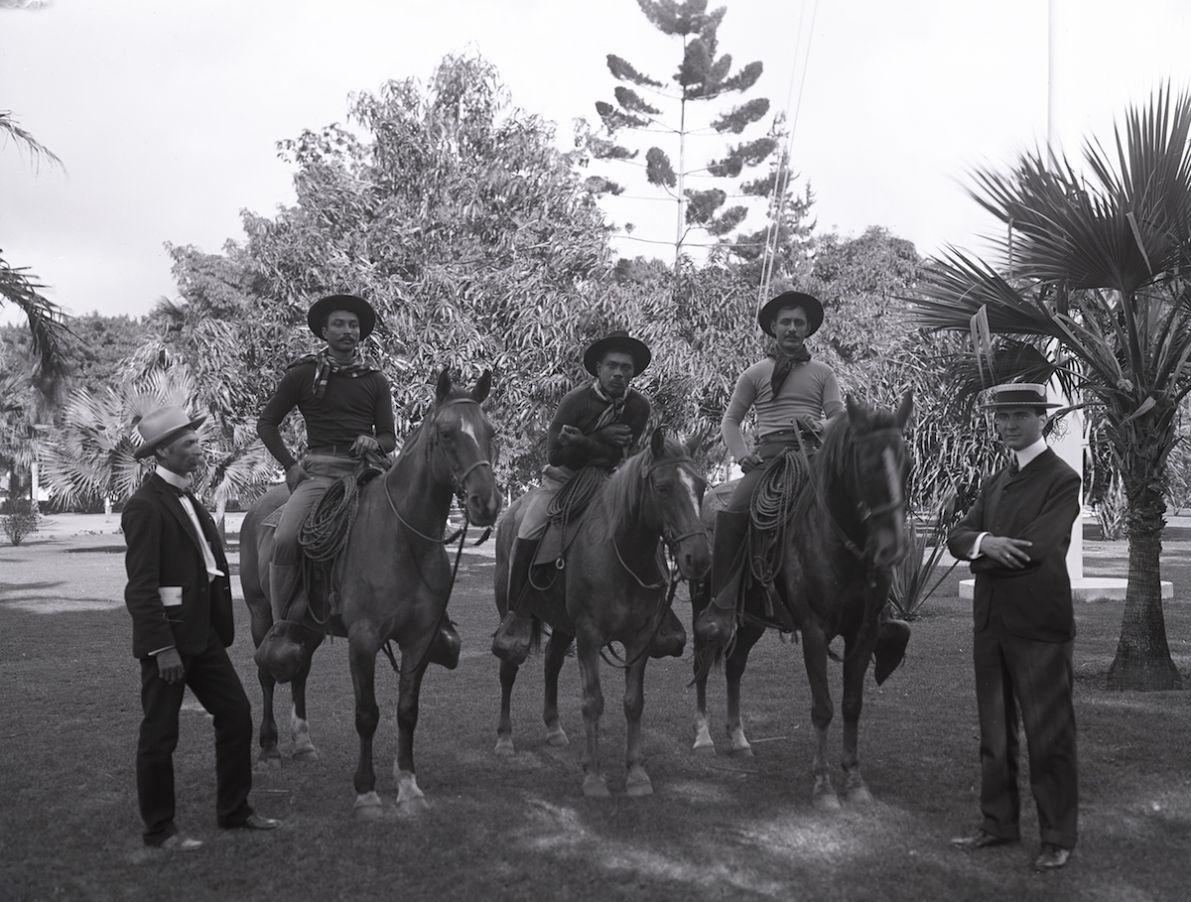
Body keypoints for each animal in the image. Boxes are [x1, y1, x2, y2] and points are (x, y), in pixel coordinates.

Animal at [241, 366, 502, 815]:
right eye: (446, 432)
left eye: (490, 431)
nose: (485, 502)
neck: (402, 536)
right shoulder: (363, 639)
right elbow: (367, 713)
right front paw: (365, 791)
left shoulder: (418, 640)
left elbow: (407, 711)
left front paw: (409, 785)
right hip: (262, 615)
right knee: (267, 673)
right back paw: (270, 748)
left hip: (308, 626)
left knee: (299, 670)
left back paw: (303, 742)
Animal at [490, 426, 705, 795]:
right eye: (663, 488)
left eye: (702, 486)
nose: (698, 557)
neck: (621, 554)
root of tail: (510, 515)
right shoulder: (590, 636)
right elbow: (593, 702)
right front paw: (593, 776)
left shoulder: (639, 640)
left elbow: (633, 703)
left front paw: (636, 774)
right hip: (512, 613)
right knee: (508, 668)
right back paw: (504, 739)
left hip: (564, 626)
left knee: (552, 662)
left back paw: (554, 728)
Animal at [690, 393, 909, 810]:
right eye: (866, 463)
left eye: (905, 463)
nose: (893, 549)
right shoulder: (814, 631)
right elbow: (822, 706)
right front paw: (823, 785)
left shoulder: (864, 632)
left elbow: (851, 704)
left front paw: (854, 780)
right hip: (704, 606)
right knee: (703, 659)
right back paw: (703, 735)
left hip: (754, 620)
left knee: (735, 667)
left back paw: (739, 738)